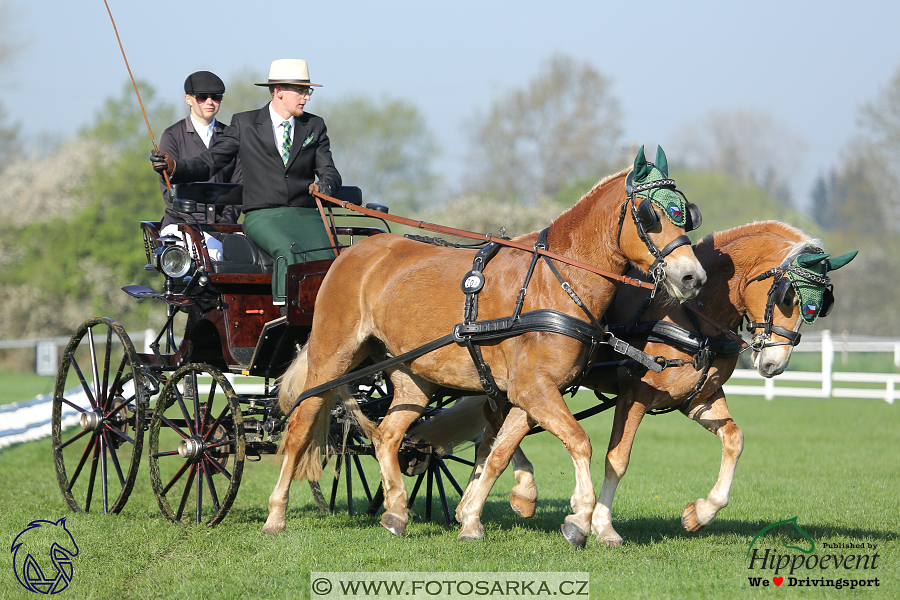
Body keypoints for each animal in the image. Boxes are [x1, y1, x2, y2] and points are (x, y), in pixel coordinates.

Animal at [264, 159, 708, 544]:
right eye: (652, 215)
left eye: (686, 214)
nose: (693, 276)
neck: (556, 280)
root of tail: (352, 252)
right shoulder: (532, 390)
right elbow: (578, 441)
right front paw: (579, 518)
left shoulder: (527, 395)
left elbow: (498, 453)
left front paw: (473, 519)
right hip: (332, 358)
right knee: (300, 426)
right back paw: (275, 515)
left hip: (413, 375)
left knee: (387, 436)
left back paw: (396, 512)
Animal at [442, 219, 856, 544]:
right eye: (788, 298)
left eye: (819, 306)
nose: (774, 364)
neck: (688, 313)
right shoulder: (636, 394)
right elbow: (617, 459)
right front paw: (602, 526)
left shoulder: (698, 398)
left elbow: (734, 439)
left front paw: (700, 513)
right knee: (495, 434)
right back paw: (512, 494)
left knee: (493, 436)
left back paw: (477, 504)